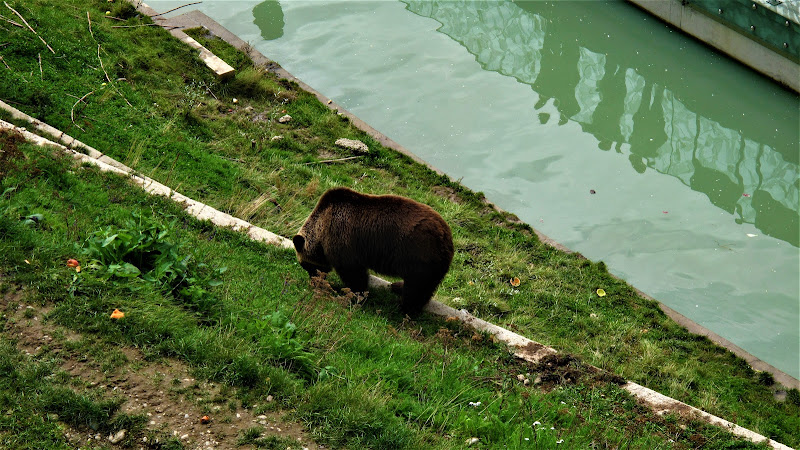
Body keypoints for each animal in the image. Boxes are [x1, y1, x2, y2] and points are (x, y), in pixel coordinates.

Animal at [296, 185, 456, 312]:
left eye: (307, 265)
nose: (314, 281)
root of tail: (446, 235)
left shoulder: (343, 239)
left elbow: (353, 273)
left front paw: (358, 295)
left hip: (419, 254)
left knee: (416, 287)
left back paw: (403, 307)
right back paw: (397, 287)